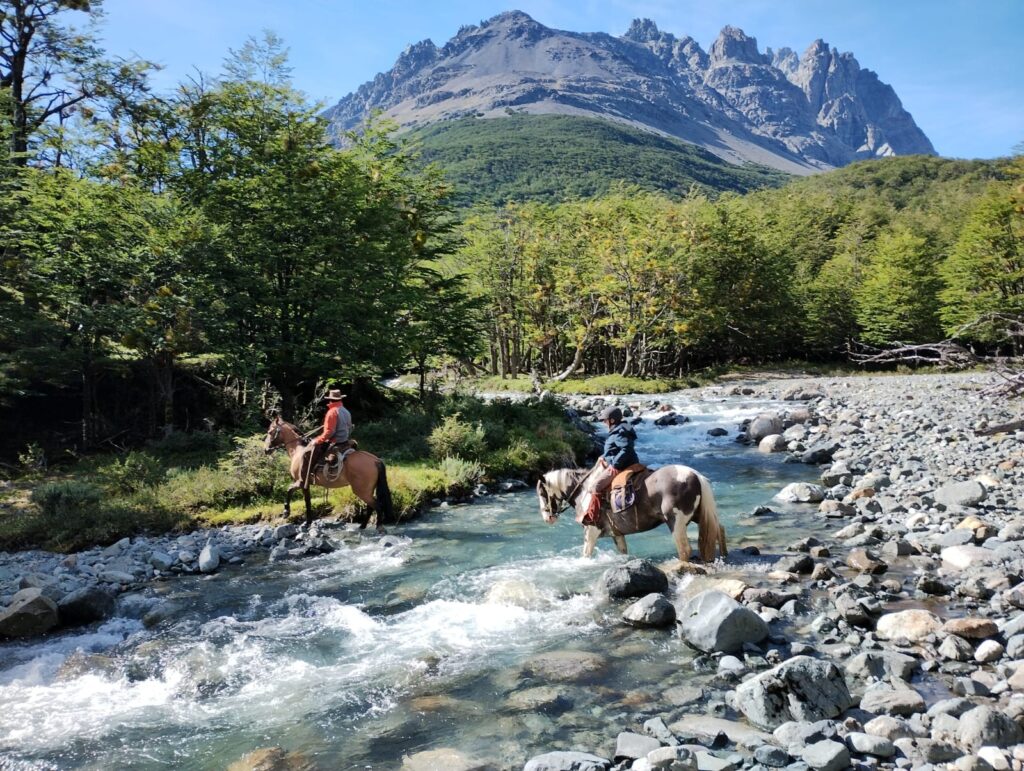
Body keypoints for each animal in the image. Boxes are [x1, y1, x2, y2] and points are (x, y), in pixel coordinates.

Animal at [536, 462, 729, 561]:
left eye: (542, 493)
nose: (547, 518)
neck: (584, 492)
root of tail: (695, 475)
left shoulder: (591, 530)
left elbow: (586, 554)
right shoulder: (617, 534)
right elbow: (623, 552)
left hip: (676, 521)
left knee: (684, 549)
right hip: (698, 515)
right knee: (719, 529)